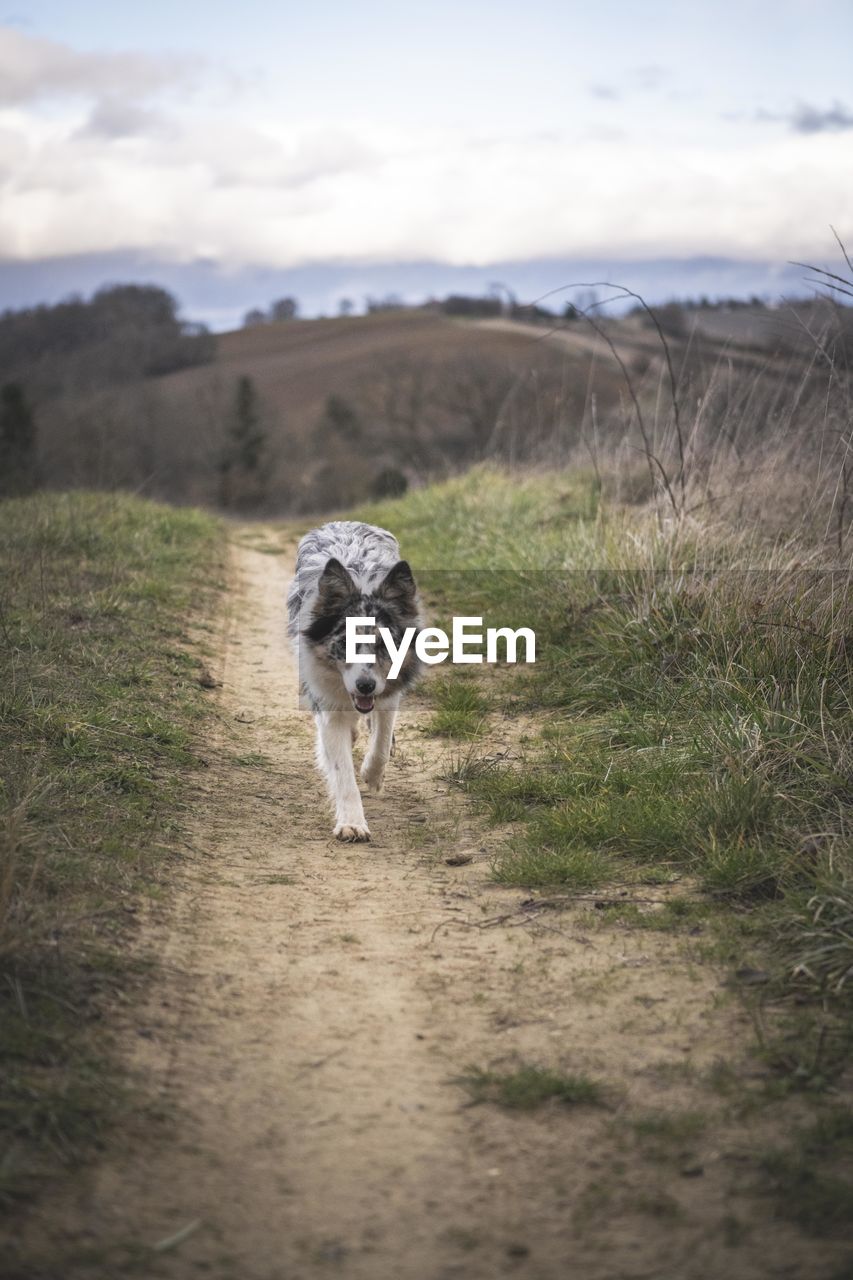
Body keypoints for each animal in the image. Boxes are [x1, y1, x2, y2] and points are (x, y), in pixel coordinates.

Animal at [286, 519, 420, 839]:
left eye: (383, 643)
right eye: (344, 642)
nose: (365, 685)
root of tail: (344, 522)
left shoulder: (388, 691)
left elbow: (381, 742)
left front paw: (372, 775)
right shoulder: (329, 705)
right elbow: (341, 770)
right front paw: (351, 823)